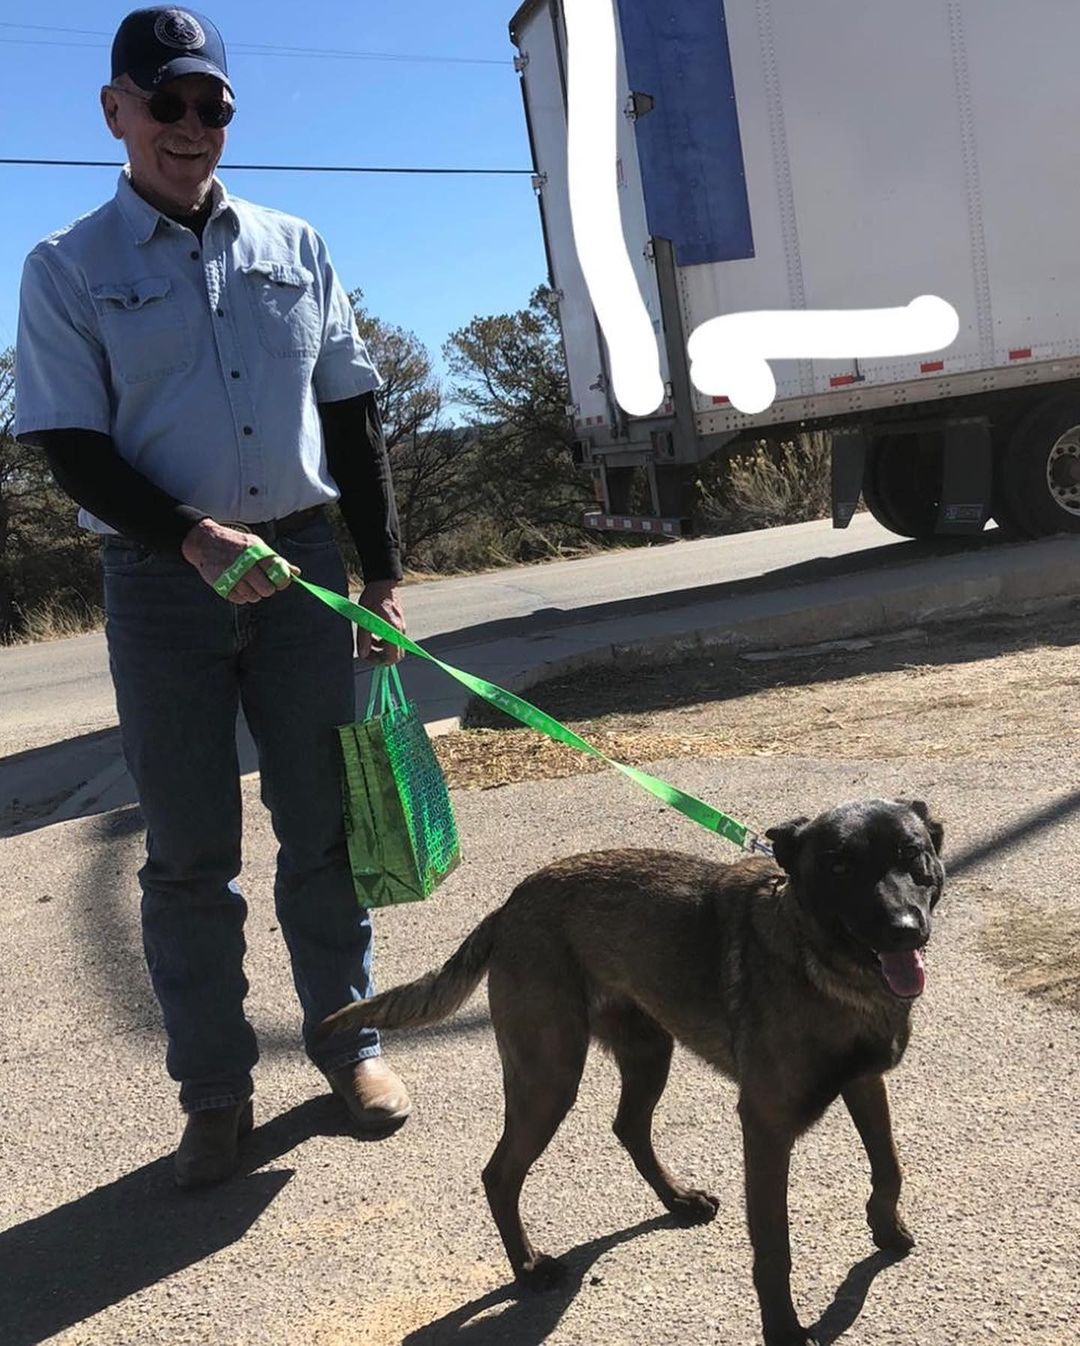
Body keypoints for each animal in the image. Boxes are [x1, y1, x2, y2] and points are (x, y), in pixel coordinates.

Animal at [315, 796, 937, 1346]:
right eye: (839, 867)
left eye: (912, 855)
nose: (906, 929)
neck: (824, 963)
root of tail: (511, 906)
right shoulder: (765, 1127)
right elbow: (773, 1248)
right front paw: (783, 1331)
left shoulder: (865, 1084)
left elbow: (889, 1166)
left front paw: (886, 1228)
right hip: (549, 1078)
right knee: (500, 1174)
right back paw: (529, 1268)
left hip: (647, 1053)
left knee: (628, 1127)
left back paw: (677, 1200)